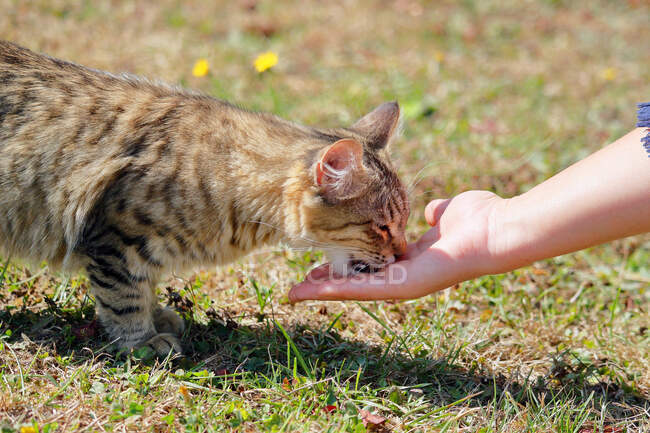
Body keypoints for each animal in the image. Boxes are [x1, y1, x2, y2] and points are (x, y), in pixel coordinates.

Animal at [0, 40, 404, 352]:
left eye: (403, 223)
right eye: (383, 226)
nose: (401, 253)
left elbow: (144, 286)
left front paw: (158, 316)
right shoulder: (116, 239)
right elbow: (124, 299)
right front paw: (141, 341)